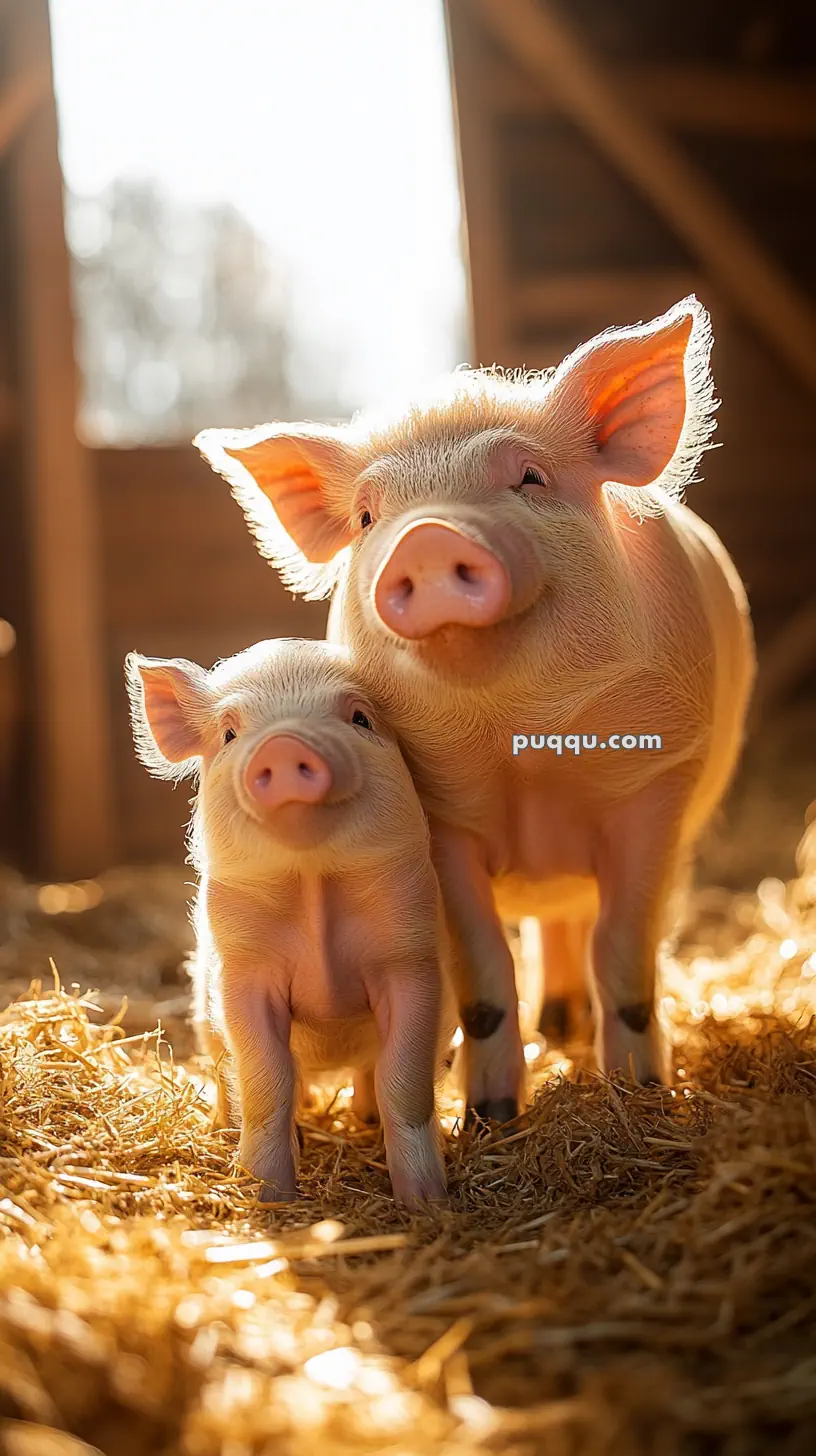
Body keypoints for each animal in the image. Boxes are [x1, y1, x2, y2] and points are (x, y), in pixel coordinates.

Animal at [127, 640, 451, 1205]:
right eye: (229, 733)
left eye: (360, 718)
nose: (281, 744)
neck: (312, 884)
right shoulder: (243, 973)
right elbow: (267, 1079)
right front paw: (266, 1194)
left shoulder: (411, 961)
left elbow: (403, 1081)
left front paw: (428, 1201)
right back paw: (223, 1127)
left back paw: (365, 1119)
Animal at [193, 295, 757, 1124]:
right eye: (368, 517)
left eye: (530, 477)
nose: (427, 538)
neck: (521, 740)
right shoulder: (446, 822)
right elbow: (485, 970)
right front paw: (490, 1117)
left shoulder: (657, 786)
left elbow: (625, 953)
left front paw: (643, 1094)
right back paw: (554, 1028)